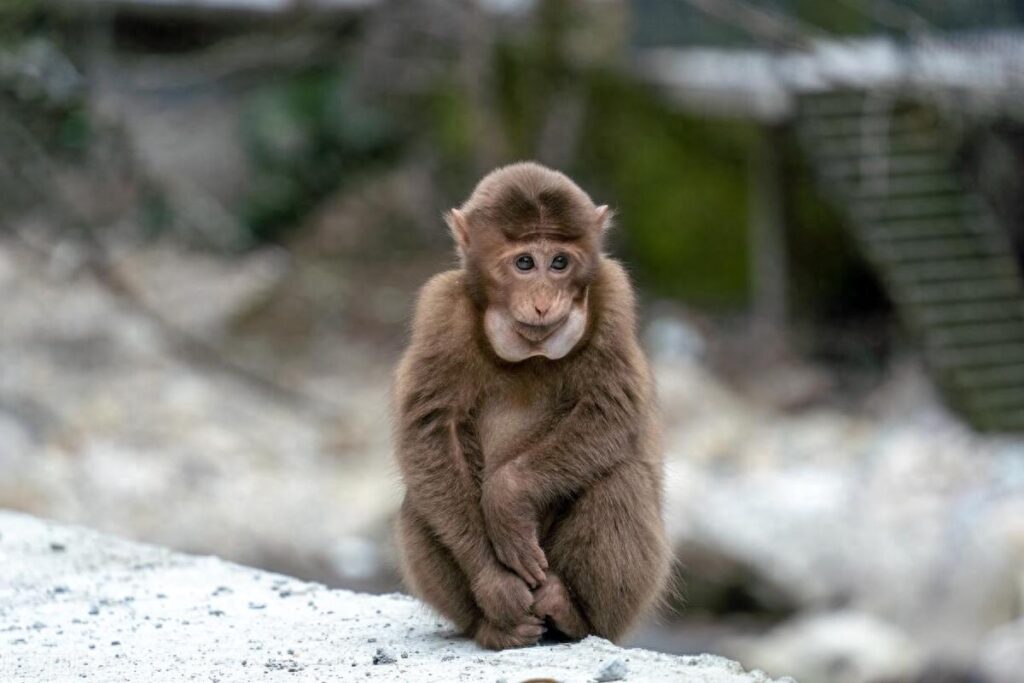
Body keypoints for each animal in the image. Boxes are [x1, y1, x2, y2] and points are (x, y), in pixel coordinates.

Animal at [391, 161, 671, 651]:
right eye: (525, 263)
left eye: (559, 262)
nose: (543, 301)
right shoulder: (440, 309)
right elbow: (428, 430)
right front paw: (496, 585)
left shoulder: (612, 293)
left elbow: (612, 410)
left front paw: (507, 498)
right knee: (419, 499)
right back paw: (495, 627)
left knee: (621, 479)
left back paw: (572, 612)